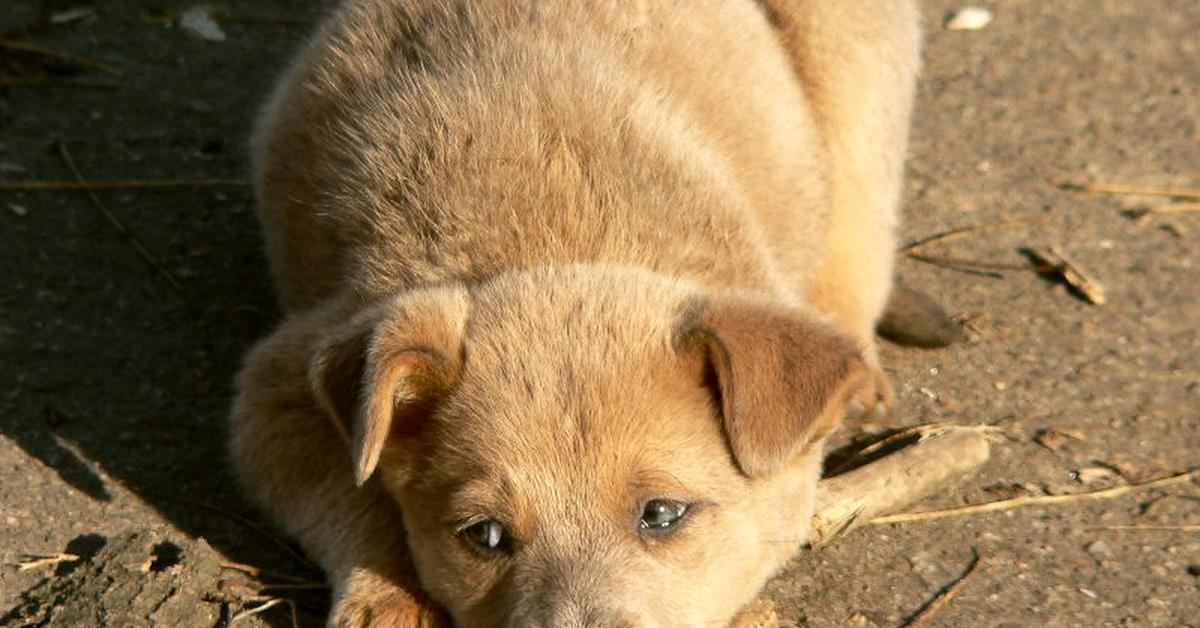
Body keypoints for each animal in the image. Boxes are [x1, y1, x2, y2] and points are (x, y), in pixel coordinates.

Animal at [229, 2, 921, 624]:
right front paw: (389, 604)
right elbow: (355, 498)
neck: (557, 240)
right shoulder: (281, 381)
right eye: (484, 534)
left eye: (661, 513)